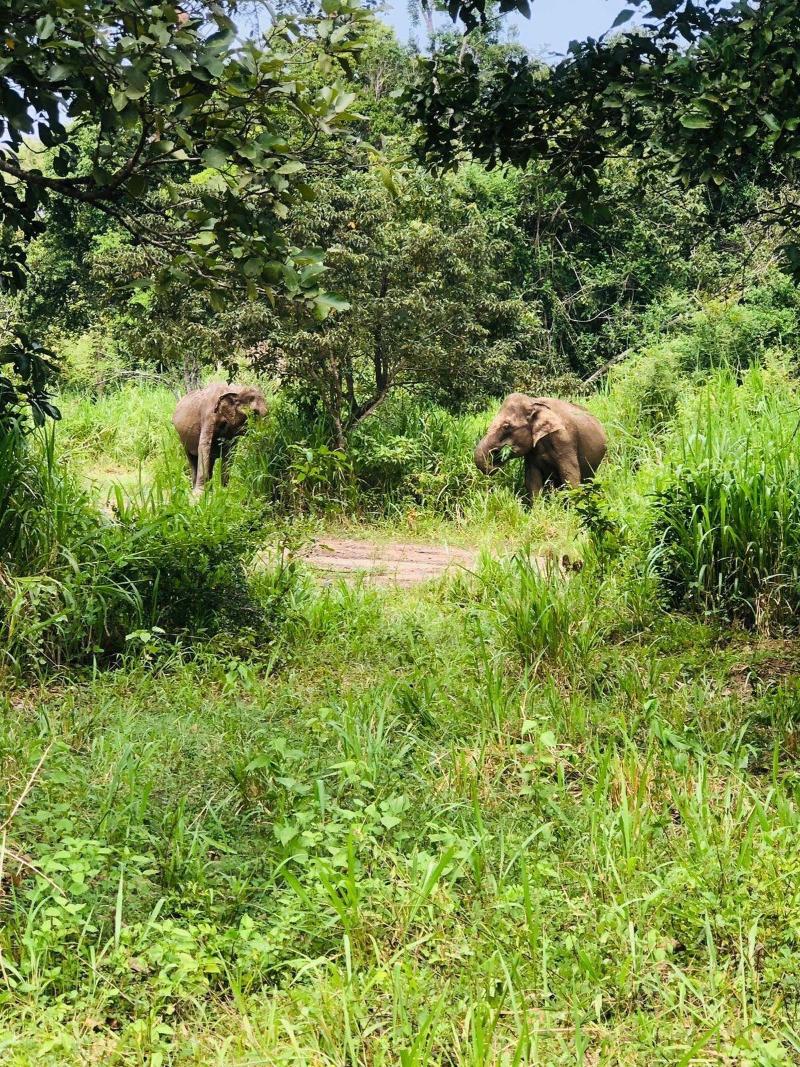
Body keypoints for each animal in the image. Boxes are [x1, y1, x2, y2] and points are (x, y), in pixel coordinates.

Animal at [474, 393, 606, 500]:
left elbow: (570, 477)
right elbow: (532, 480)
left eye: (506, 426)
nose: (495, 458)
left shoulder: (565, 441)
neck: (533, 402)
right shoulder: (531, 452)